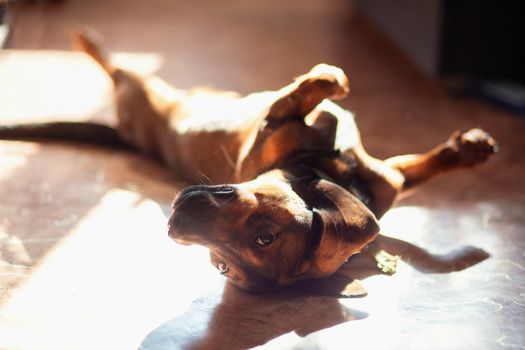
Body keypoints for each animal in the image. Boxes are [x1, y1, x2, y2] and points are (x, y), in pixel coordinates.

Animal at [0, 32, 498, 292]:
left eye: (262, 240)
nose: (174, 226)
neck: (327, 173)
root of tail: (128, 136)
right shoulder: (274, 128)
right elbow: (303, 95)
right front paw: (328, 79)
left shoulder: (378, 173)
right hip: (156, 92)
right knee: (117, 65)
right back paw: (88, 39)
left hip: (147, 93)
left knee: (118, 69)